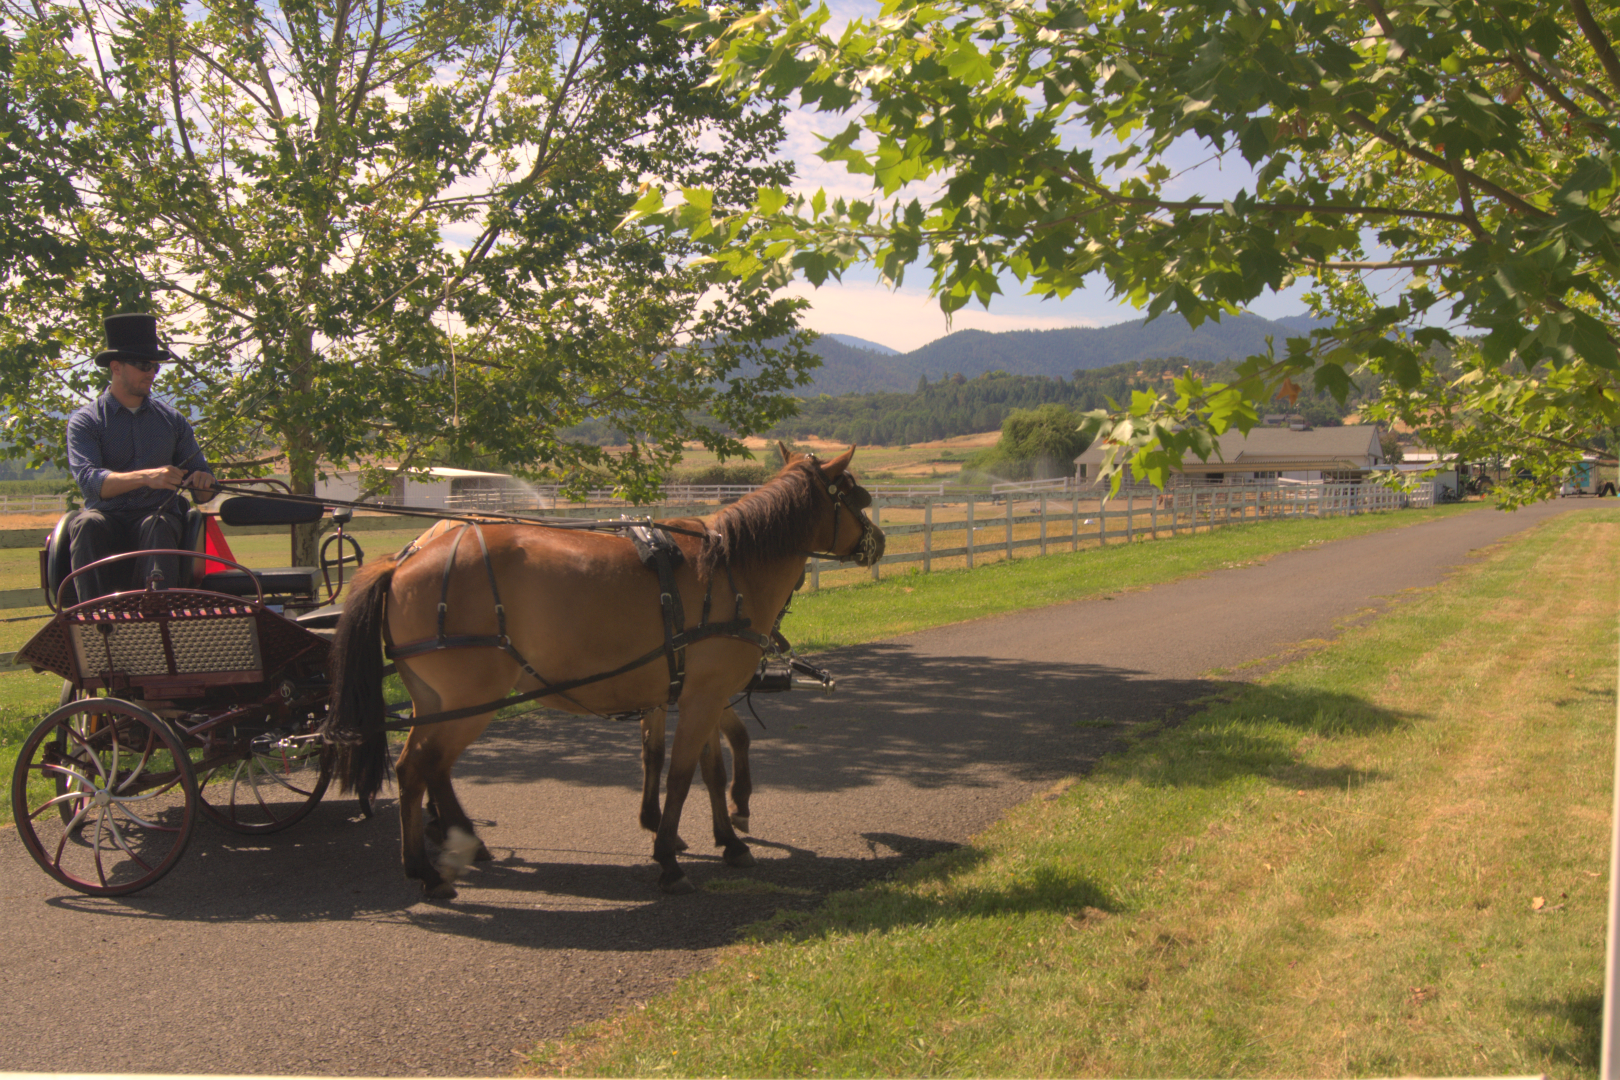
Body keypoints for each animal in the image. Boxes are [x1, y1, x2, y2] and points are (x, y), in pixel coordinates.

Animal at [317, 443, 887, 900]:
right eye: (857, 496)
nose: (878, 542)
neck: (729, 570)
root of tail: (405, 560)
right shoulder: (704, 698)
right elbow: (682, 775)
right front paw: (669, 859)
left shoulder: (699, 694)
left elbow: (710, 770)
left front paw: (728, 841)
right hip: (467, 701)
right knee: (419, 770)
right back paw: (427, 869)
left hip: (433, 702)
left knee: (422, 769)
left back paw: (451, 849)